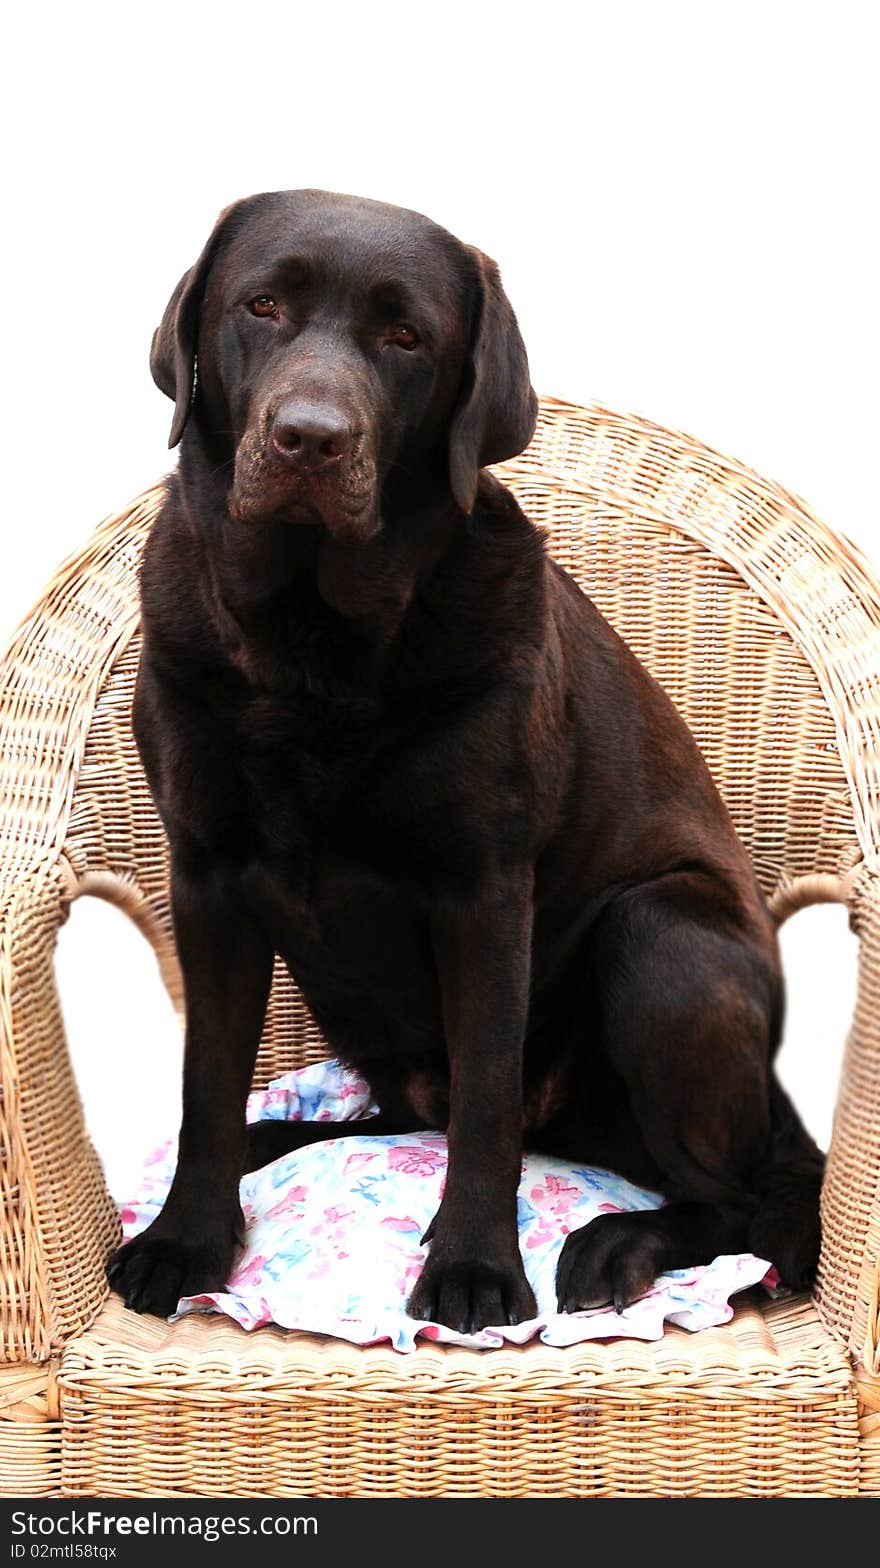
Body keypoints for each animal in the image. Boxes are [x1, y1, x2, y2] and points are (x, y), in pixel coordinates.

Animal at [104, 189, 821, 1329]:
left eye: (407, 337)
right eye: (261, 305)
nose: (310, 439)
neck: (313, 644)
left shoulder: (483, 887)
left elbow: (486, 1100)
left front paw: (477, 1270)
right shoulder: (207, 875)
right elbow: (207, 1082)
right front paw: (185, 1240)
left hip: (663, 932)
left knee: (742, 1198)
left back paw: (617, 1242)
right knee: (400, 1119)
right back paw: (279, 1138)